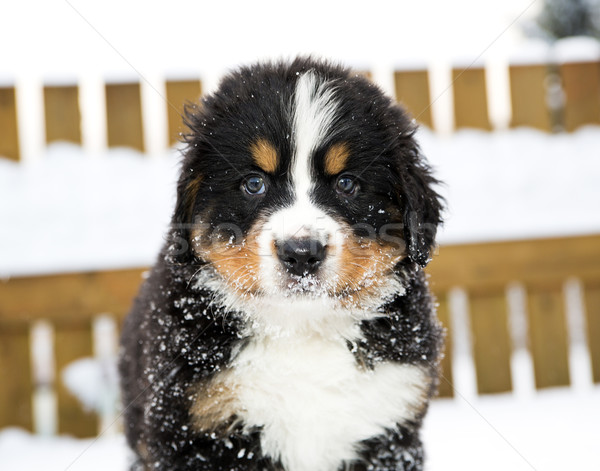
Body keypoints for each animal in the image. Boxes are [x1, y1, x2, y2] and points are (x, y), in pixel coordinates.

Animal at [119, 56, 442, 471]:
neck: (299, 329)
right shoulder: (197, 428)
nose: (301, 252)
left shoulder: (389, 428)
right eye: (254, 183)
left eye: (347, 184)